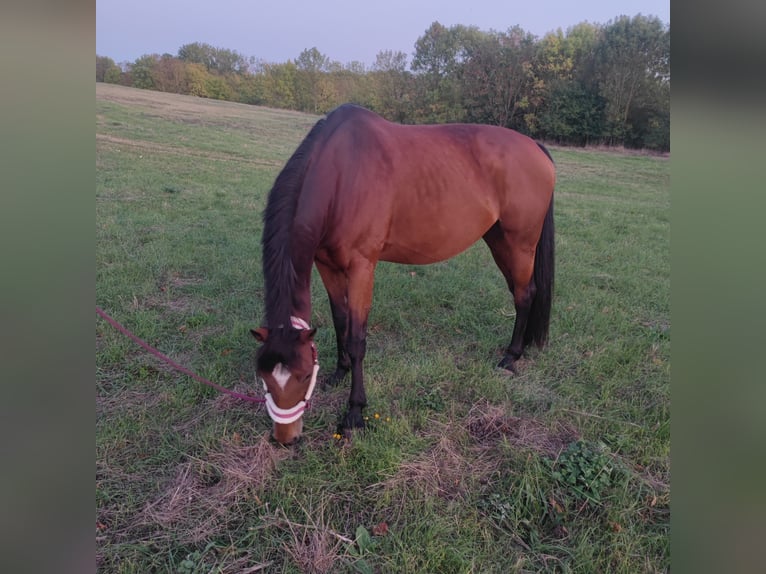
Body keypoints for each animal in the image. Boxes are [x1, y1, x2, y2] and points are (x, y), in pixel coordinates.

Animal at [251, 104, 555, 445]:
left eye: (303, 375)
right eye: (263, 377)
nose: (285, 437)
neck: (341, 174)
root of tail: (536, 147)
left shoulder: (362, 267)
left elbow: (357, 338)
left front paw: (354, 413)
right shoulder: (326, 265)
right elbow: (340, 321)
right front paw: (340, 372)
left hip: (520, 244)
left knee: (524, 295)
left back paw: (511, 357)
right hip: (499, 241)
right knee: (520, 292)